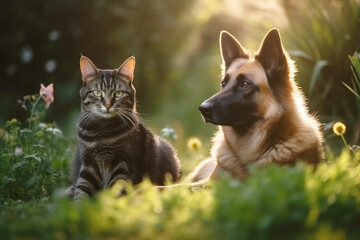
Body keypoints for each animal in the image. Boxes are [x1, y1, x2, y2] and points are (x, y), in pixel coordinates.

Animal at [69, 55, 183, 200]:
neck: (102, 133)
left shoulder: (123, 164)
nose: (108, 105)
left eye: (118, 93)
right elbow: (81, 190)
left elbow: (117, 191)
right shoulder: (88, 165)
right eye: (97, 93)